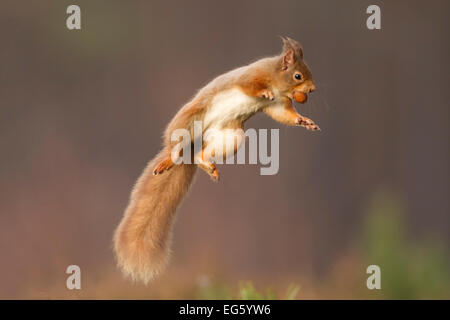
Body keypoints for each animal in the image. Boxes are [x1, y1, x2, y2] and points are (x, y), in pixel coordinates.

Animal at [114, 36, 318, 284]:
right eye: (298, 76)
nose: (312, 89)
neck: (277, 81)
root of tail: (194, 142)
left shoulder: (279, 105)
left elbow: (286, 115)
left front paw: (305, 121)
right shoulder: (250, 77)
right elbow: (251, 86)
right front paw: (264, 92)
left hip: (231, 137)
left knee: (201, 154)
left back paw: (207, 166)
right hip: (188, 122)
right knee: (174, 147)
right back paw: (168, 161)